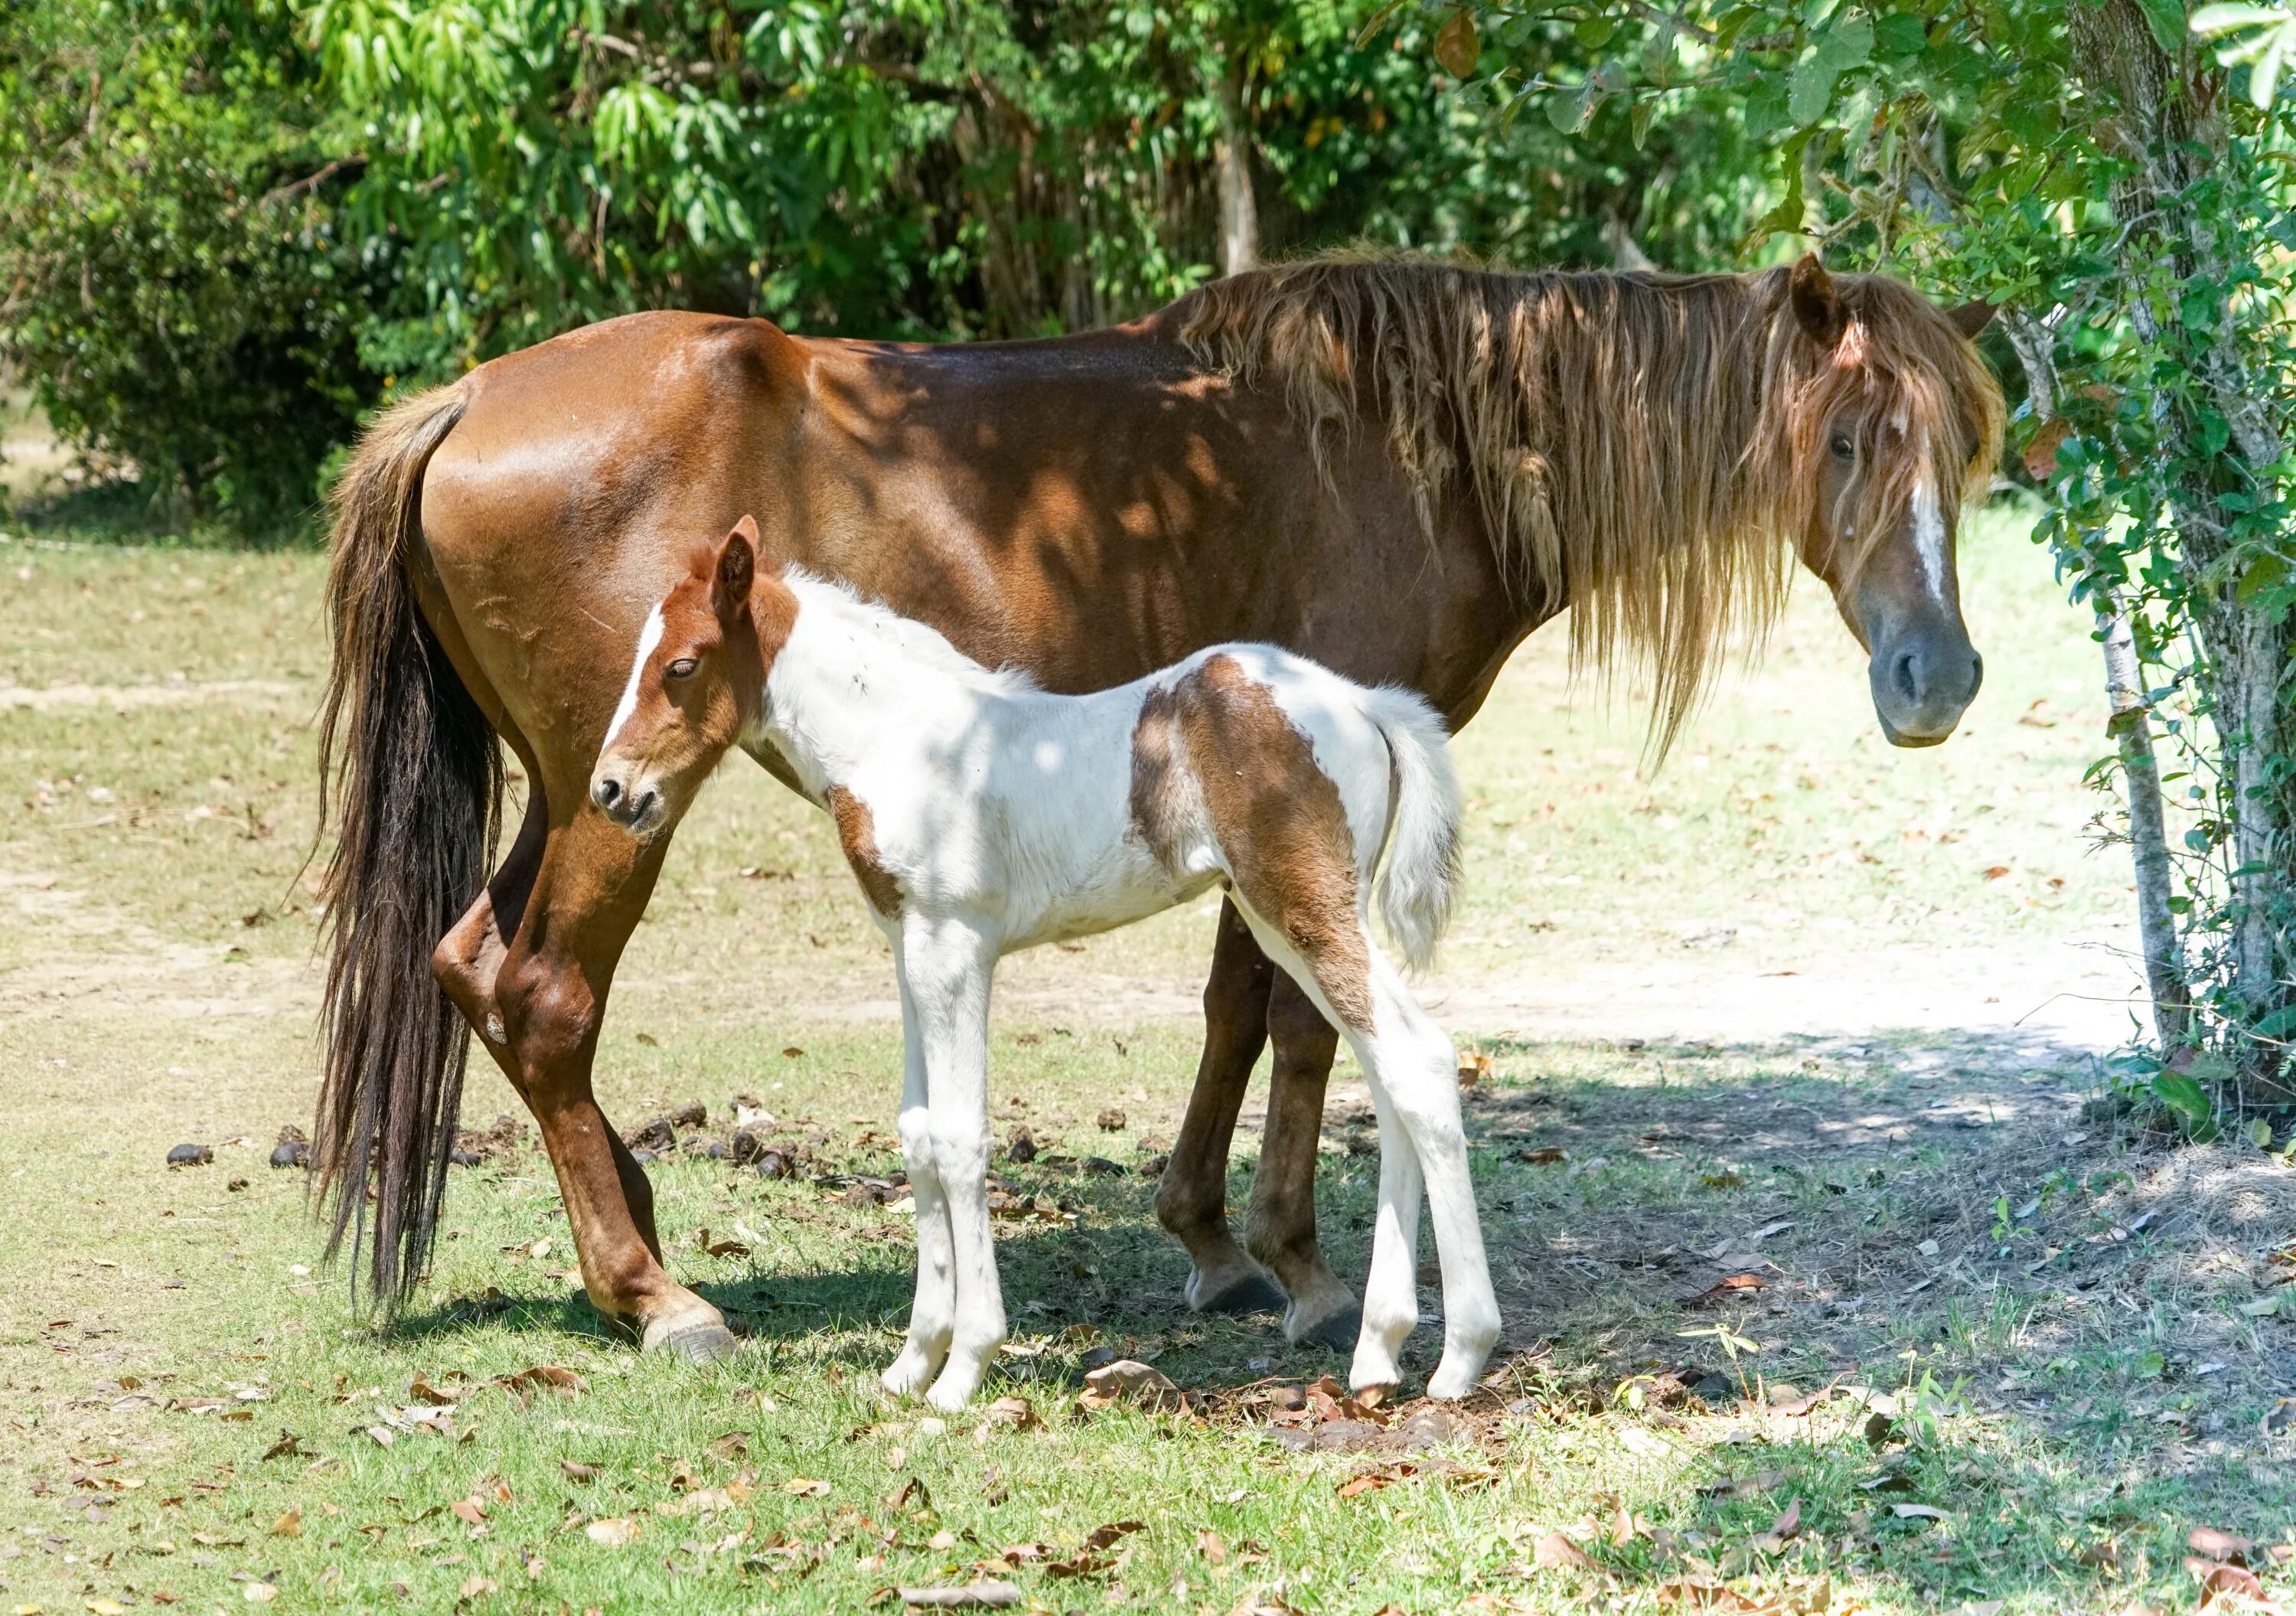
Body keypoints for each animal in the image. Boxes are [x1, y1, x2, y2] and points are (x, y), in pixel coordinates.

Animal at [583, 521, 1497, 1414]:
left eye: (682, 664)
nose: (609, 789)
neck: (901, 742)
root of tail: (1365, 702)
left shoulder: (955, 949)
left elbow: (959, 1138)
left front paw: (963, 1369)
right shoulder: (909, 948)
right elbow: (917, 1132)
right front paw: (910, 1365)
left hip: (1306, 912)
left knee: (1418, 1058)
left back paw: (1460, 1356)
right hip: (1289, 924)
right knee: (1388, 1071)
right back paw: (1377, 1352)